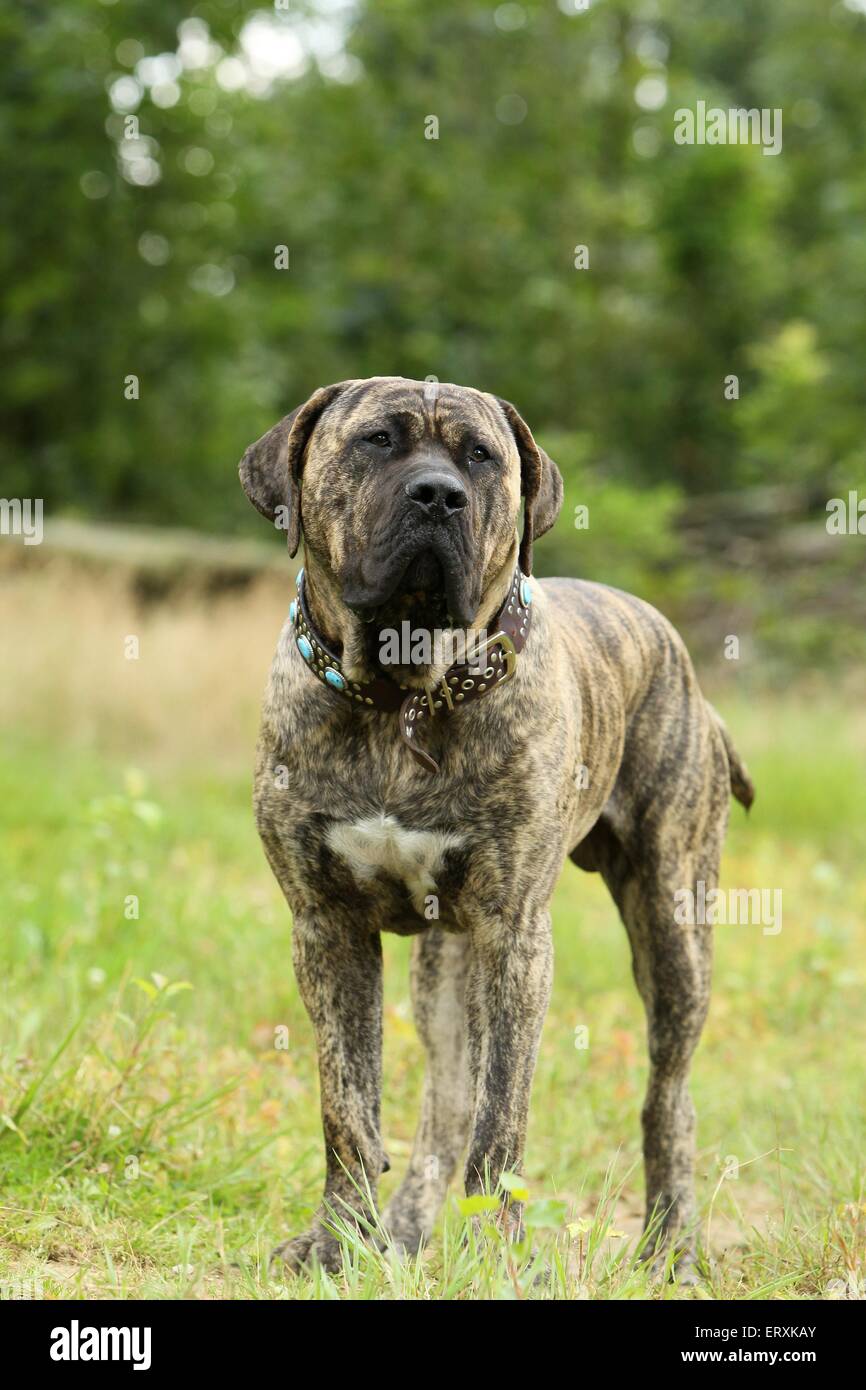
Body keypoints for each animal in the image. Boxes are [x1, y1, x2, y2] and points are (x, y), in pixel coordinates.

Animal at [240, 378, 756, 1278]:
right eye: (376, 441)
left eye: (480, 456)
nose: (437, 494)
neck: (403, 698)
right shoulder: (327, 928)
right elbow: (348, 1109)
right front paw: (337, 1243)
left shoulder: (515, 937)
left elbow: (501, 1118)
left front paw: (498, 1258)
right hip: (446, 970)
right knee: (444, 1109)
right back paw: (405, 1231)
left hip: (674, 928)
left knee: (667, 1100)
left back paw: (670, 1246)